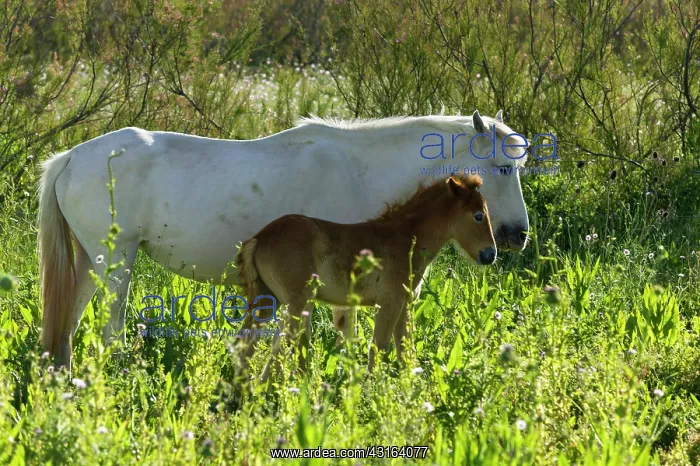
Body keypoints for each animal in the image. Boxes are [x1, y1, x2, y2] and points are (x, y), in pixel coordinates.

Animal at [235, 174, 495, 378]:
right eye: (478, 216)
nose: (490, 254)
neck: (405, 238)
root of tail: (259, 238)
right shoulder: (390, 302)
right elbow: (379, 347)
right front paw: (372, 392)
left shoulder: (405, 304)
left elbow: (405, 349)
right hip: (298, 303)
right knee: (284, 344)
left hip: (267, 302)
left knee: (249, 342)